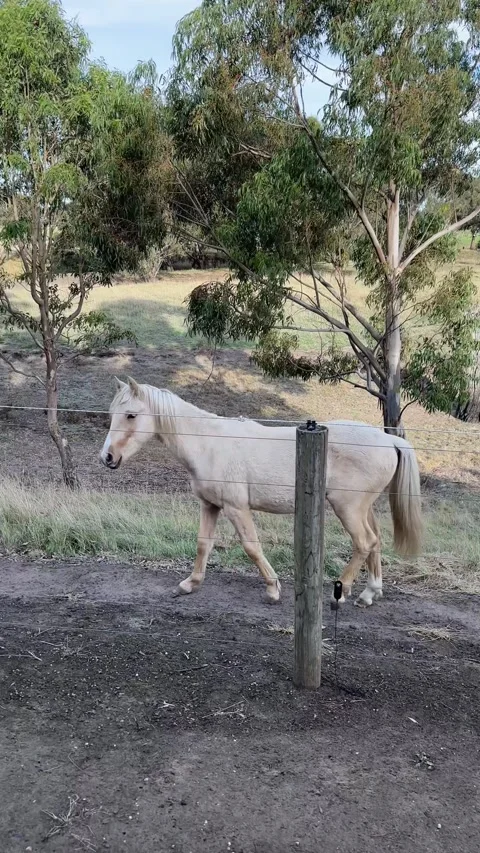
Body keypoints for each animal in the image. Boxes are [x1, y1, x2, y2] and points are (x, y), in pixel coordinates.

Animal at [100, 377, 422, 608]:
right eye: (113, 414)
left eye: (131, 415)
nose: (107, 457)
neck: (208, 443)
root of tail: (389, 439)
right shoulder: (210, 505)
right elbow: (203, 544)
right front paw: (190, 584)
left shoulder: (236, 508)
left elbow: (252, 547)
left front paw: (272, 589)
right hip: (363, 509)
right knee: (375, 541)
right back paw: (370, 593)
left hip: (348, 508)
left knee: (364, 543)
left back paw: (341, 592)